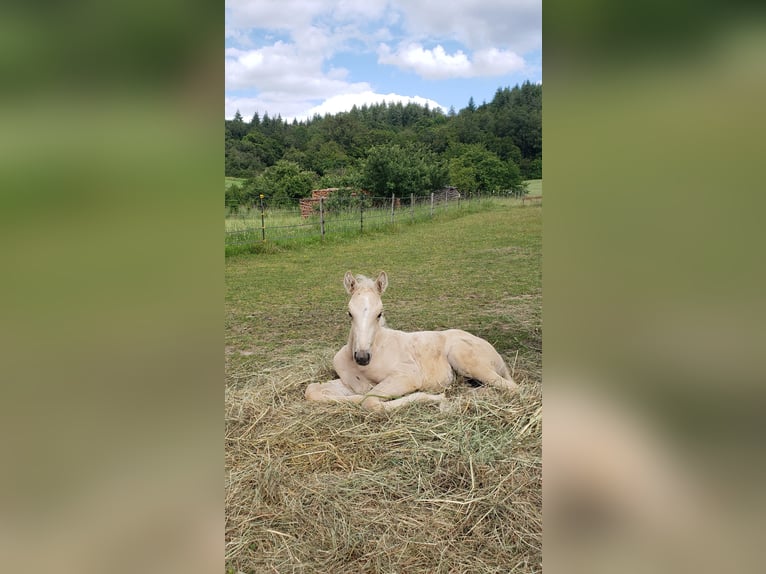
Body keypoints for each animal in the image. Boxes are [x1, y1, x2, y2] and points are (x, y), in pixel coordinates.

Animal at [304, 272, 516, 412]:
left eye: (379, 313)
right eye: (349, 313)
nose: (362, 357)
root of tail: (494, 352)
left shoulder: (408, 376)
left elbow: (369, 401)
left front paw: (435, 397)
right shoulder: (350, 383)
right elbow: (312, 390)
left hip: (463, 357)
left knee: (512, 388)